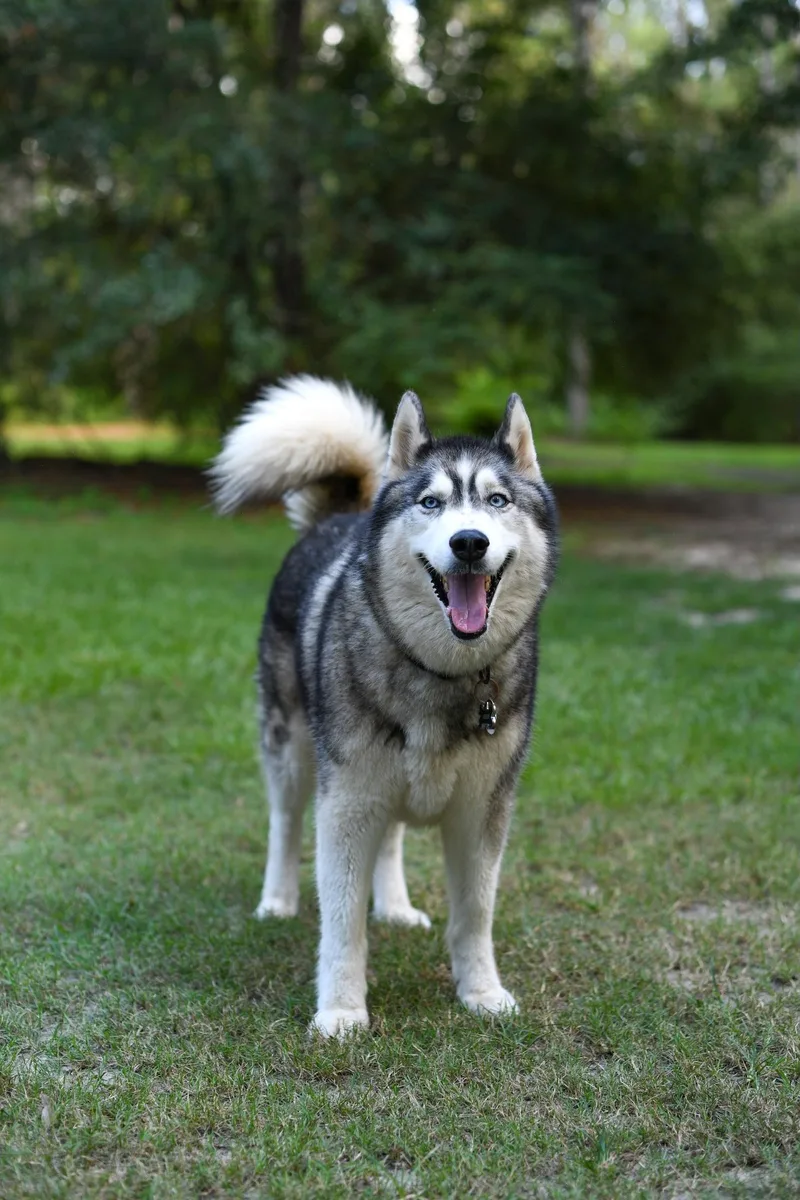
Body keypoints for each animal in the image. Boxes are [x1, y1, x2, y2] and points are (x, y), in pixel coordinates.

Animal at [211, 376, 558, 1037]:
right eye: (430, 503)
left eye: (498, 500)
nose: (468, 542)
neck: (440, 670)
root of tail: (338, 518)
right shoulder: (346, 803)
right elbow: (342, 922)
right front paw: (342, 1009)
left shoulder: (482, 809)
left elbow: (475, 912)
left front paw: (481, 992)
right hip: (292, 749)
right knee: (284, 820)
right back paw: (277, 900)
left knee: (393, 835)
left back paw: (394, 905)